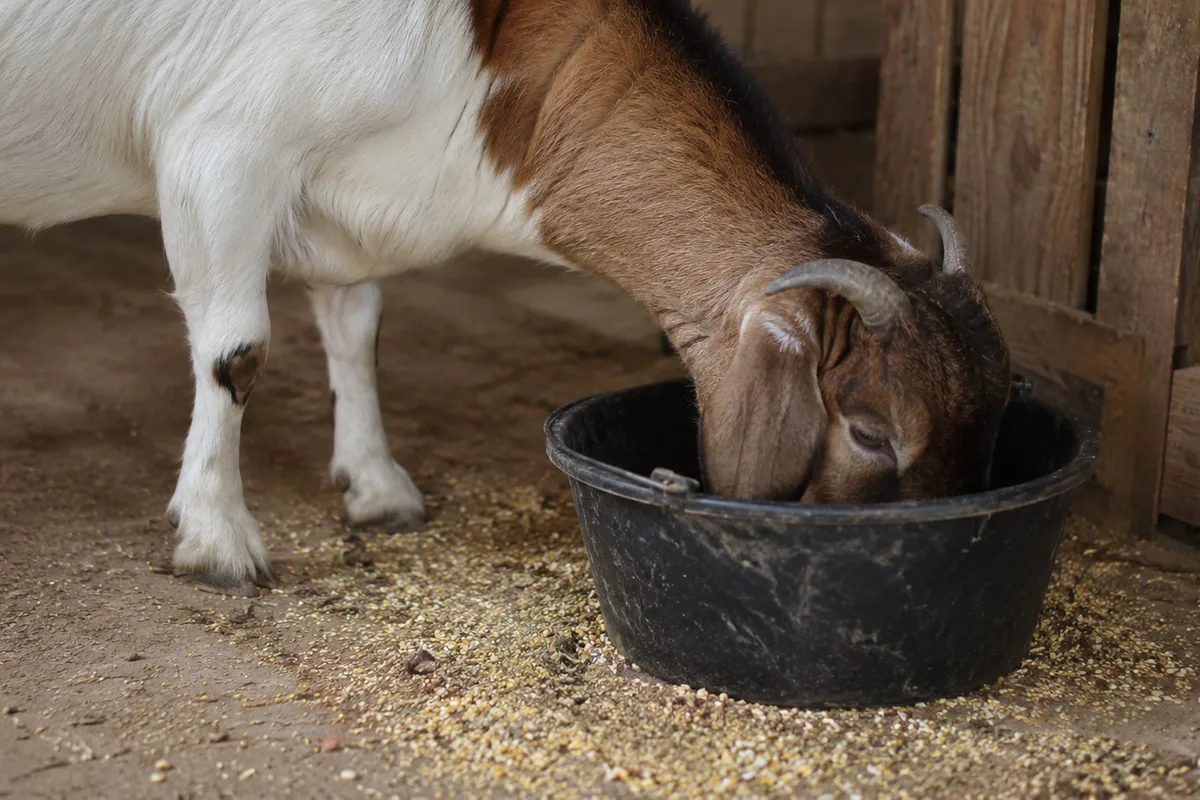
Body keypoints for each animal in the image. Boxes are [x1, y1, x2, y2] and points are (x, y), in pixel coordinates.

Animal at [0, 0, 1011, 595]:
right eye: (871, 430)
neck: (476, 52)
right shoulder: (219, 148)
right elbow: (235, 351)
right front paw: (218, 539)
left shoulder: (341, 201)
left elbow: (356, 326)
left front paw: (377, 487)